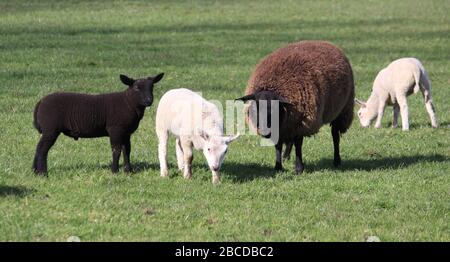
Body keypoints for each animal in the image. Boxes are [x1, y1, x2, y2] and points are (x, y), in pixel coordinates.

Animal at [237, 40, 354, 173]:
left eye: (274, 108)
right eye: (254, 107)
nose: (264, 131)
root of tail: (327, 43)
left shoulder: (302, 122)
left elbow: (298, 145)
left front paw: (298, 168)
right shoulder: (286, 124)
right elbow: (278, 146)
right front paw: (278, 167)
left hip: (342, 110)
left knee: (335, 135)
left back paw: (337, 161)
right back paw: (286, 156)